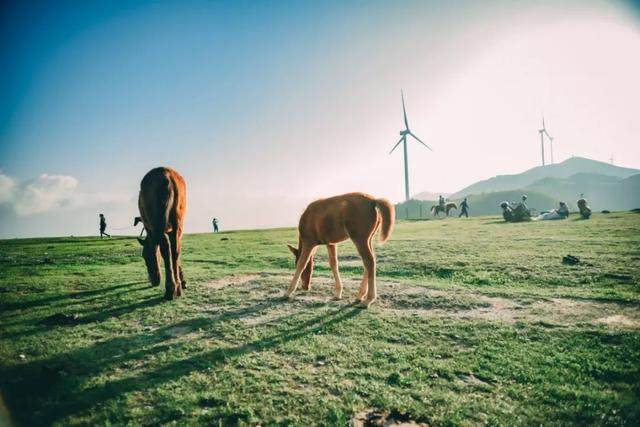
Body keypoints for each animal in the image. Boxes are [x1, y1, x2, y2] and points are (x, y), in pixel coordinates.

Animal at [138, 167, 188, 300]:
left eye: (145, 256)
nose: (153, 280)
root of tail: (166, 175)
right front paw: (182, 281)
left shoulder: (151, 229)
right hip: (178, 224)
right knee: (175, 250)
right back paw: (177, 288)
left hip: (158, 225)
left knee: (166, 249)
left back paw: (170, 289)